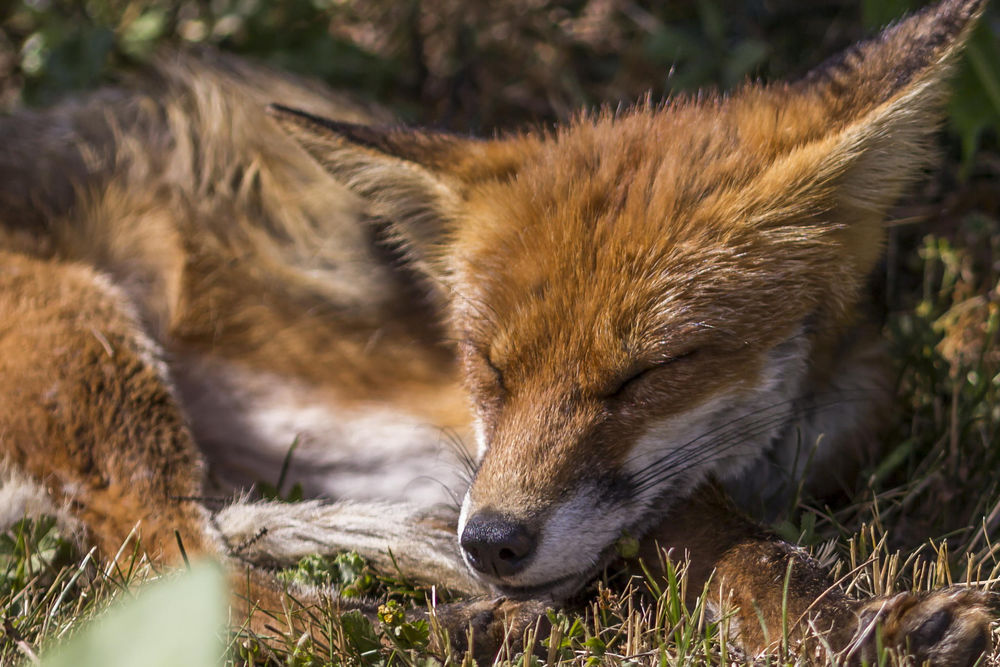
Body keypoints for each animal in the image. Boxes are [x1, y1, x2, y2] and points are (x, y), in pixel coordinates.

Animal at [0, 0, 996, 663]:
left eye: (644, 374)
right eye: (489, 367)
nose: (493, 545)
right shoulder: (514, 466)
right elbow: (734, 537)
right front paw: (858, 628)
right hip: (95, 355)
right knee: (172, 570)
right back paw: (444, 627)